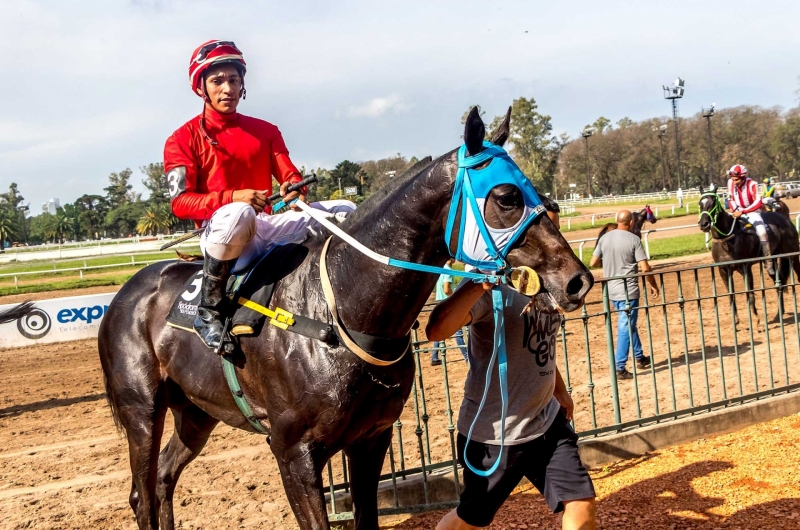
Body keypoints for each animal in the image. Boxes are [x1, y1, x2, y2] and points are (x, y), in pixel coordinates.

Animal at [95, 107, 592, 528]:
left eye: (543, 195)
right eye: (506, 196)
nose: (577, 281)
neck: (337, 314)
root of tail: (126, 293)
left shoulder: (371, 438)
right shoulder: (293, 452)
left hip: (196, 413)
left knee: (164, 479)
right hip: (143, 410)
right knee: (142, 493)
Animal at [692, 184, 800, 320]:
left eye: (713, 203)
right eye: (700, 203)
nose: (704, 224)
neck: (727, 239)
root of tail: (785, 220)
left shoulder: (745, 268)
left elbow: (749, 292)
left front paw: (755, 317)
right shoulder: (723, 270)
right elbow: (731, 293)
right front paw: (736, 319)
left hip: (793, 255)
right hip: (774, 259)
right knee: (778, 282)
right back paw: (778, 314)